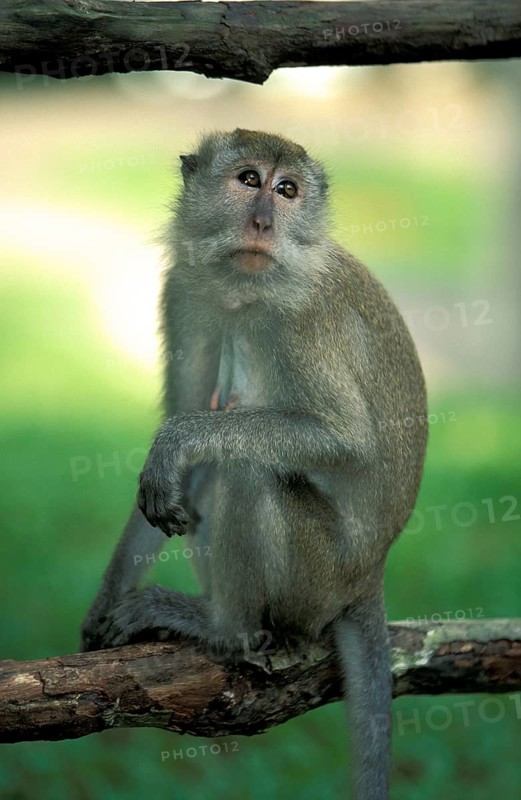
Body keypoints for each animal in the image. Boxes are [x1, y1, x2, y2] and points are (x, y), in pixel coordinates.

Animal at [80, 128, 427, 800]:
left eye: (286, 190)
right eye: (249, 180)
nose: (265, 221)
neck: (243, 292)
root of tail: (368, 576)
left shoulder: (302, 320)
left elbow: (346, 440)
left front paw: (178, 439)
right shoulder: (184, 293)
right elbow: (179, 463)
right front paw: (102, 607)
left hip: (319, 578)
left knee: (249, 468)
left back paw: (227, 630)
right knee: (221, 467)